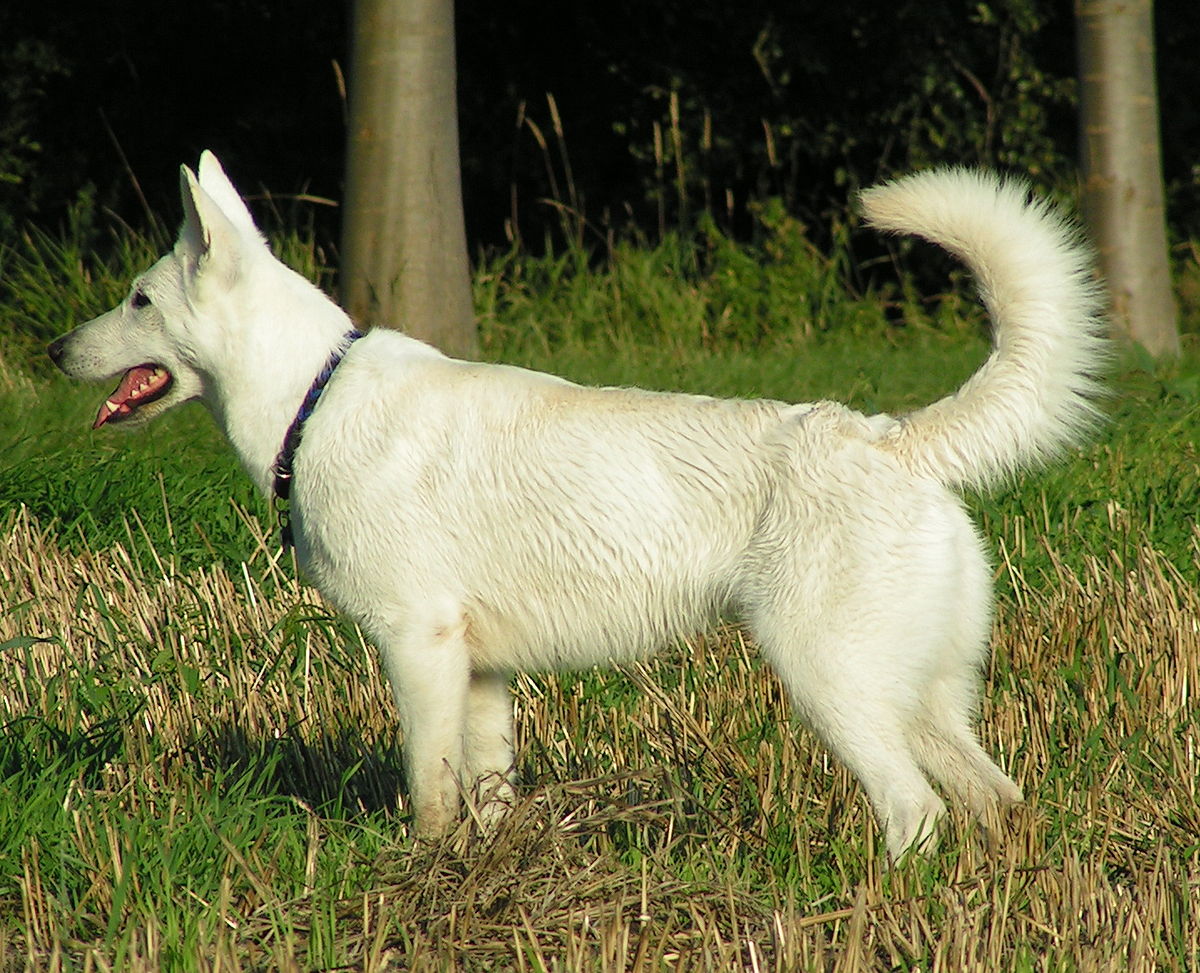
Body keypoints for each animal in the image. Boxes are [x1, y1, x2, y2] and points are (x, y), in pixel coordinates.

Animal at [51, 153, 1108, 859]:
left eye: (138, 299)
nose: (55, 350)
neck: (315, 395)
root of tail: (888, 437)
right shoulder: (481, 675)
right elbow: (483, 794)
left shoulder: (417, 646)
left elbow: (428, 791)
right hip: (920, 698)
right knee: (996, 801)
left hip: (830, 683)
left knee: (916, 814)